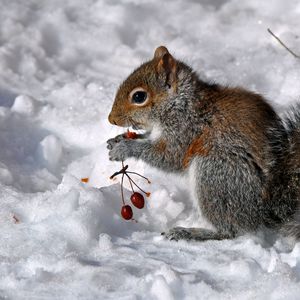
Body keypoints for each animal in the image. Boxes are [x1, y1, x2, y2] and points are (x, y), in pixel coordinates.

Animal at [106, 45, 300, 241]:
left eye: (139, 96)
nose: (111, 119)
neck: (181, 104)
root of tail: (264, 210)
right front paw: (117, 140)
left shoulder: (185, 130)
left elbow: (167, 157)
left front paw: (125, 148)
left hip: (214, 174)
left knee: (230, 231)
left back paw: (189, 232)